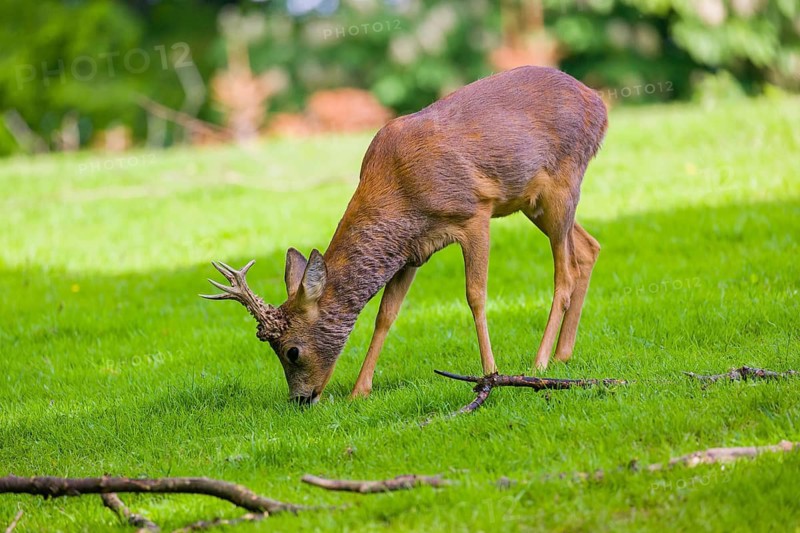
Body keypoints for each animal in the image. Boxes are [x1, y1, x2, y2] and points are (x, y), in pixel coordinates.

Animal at [201, 65, 608, 404]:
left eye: (291, 351)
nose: (300, 399)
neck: (399, 195)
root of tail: (599, 102)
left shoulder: (475, 212)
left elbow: (475, 295)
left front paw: (490, 372)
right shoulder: (412, 250)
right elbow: (386, 315)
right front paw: (359, 391)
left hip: (562, 181)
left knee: (566, 270)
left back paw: (540, 362)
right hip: (533, 201)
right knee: (588, 247)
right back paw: (563, 353)